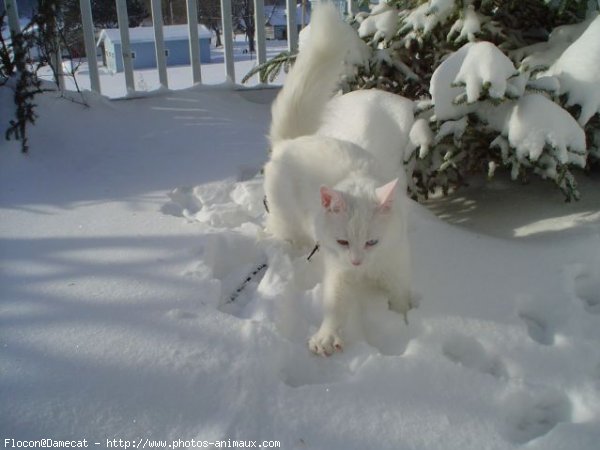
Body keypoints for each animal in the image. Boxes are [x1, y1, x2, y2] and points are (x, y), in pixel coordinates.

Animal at [264, 2, 414, 356]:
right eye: (344, 242)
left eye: (372, 242)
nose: (357, 262)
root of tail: (290, 142)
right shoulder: (338, 273)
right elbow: (335, 308)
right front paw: (325, 338)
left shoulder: (396, 266)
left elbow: (402, 302)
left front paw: (406, 330)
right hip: (290, 222)